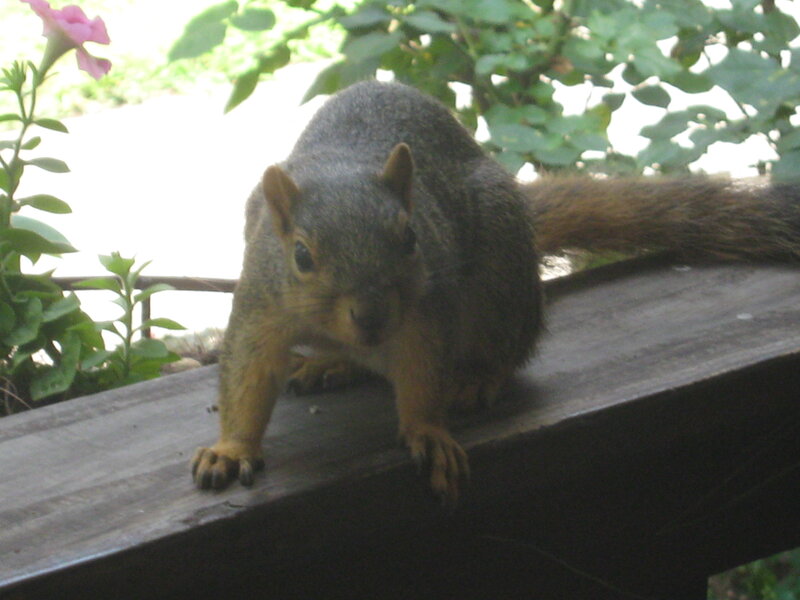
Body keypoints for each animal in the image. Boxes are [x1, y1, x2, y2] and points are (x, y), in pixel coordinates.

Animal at [192, 80, 800, 506]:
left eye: (410, 238)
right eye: (301, 256)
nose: (372, 317)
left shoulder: (424, 310)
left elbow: (422, 370)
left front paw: (427, 431)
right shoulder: (261, 305)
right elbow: (247, 374)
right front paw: (231, 450)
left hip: (499, 285)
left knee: (508, 348)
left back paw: (476, 377)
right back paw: (329, 364)